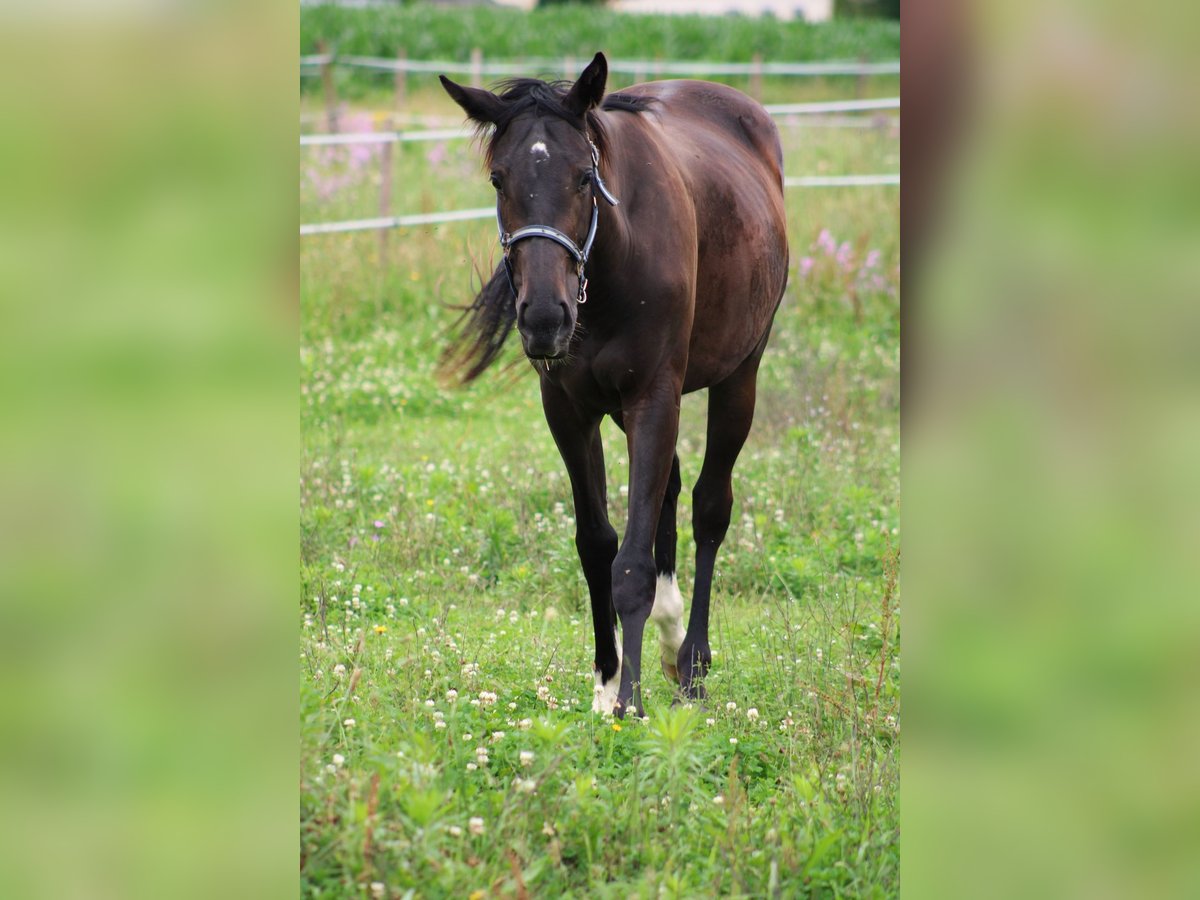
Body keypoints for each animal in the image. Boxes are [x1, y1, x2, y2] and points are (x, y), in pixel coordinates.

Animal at [441, 54, 787, 720]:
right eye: (498, 179)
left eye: (584, 177)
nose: (543, 319)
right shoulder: (569, 409)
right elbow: (597, 544)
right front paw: (607, 683)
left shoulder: (652, 398)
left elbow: (631, 564)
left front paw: (631, 701)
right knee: (669, 498)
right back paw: (670, 640)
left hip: (739, 376)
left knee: (710, 506)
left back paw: (693, 663)